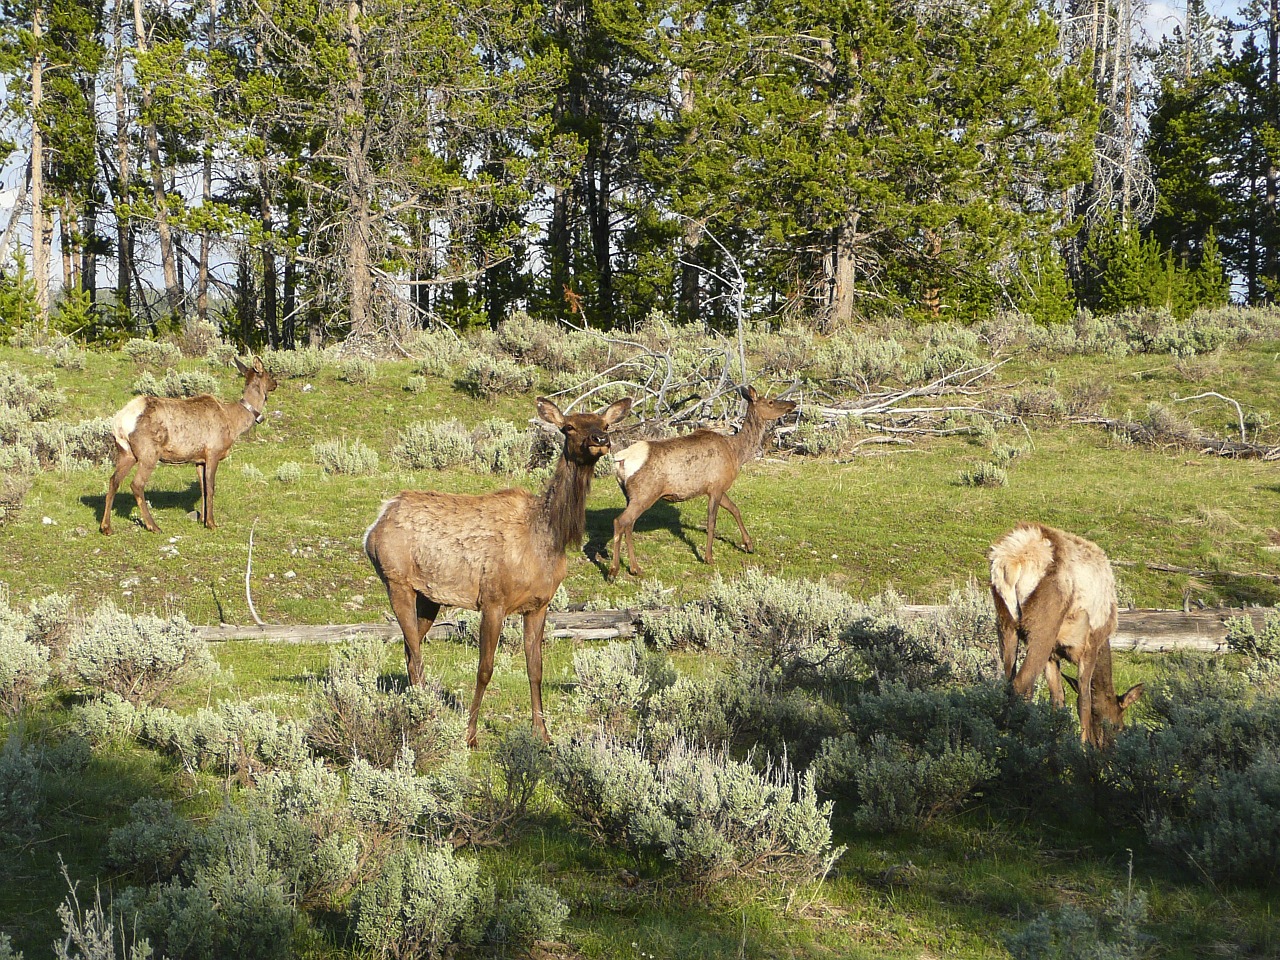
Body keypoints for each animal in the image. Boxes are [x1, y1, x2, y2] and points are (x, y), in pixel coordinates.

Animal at [101, 358, 279, 537]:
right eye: (268, 374)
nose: (276, 383)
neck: (234, 422)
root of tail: (120, 422)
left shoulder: (199, 459)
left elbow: (203, 488)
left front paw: (202, 519)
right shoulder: (213, 452)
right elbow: (211, 487)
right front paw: (211, 523)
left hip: (126, 452)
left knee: (113, 480)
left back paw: (106, 527)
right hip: (149, 452)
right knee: (136, 484)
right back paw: (154, 526)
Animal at [363, 394, 632, 747]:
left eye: (604, 424)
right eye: (569, 427)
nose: (600, 440)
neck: (547, 540)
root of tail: (374, 524)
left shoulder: (539, 604)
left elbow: (536, 668)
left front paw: (543, 734)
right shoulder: (493, 600)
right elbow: (485, 668)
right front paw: (470, 735)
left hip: (429, 597)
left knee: (410, 651)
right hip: (396, 581)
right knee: (416, 652)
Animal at [606, 386, 793, 583]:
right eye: (771, 401)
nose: (792, 403)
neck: (736, 454)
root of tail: (620, 460)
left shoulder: (717, 487)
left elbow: (735, 509)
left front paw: (749, 545)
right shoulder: (716, 487)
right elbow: (712, 521)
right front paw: (709, 557)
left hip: (630, 496)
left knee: (629, 525)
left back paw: (635, 568)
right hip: (645, 493)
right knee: (620, 521)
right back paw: (613, 571)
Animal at [983, 522, 1146, 747]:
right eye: (1118, 726)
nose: (1107, 749)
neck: (1105, 643)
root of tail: (1013, 560)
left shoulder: (1053, 655)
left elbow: (1058, 698)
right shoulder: (1090, 645)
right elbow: (1084, 699)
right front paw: (1083, 746)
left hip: (1005, 620)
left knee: (1007, 681)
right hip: (1043, 625)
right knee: (1021, 683)